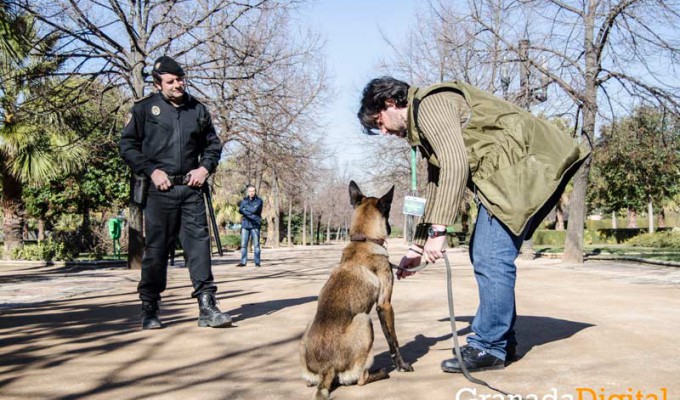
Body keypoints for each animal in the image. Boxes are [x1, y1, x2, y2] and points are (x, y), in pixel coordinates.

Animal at [298, 182, 414, 400]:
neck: (363, 240)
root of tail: (327, 369)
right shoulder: (385, 305)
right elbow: (393, 340)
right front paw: (402, 366)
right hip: (365, 320)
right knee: (360, 379)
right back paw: (381, 373)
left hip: (309, 327)